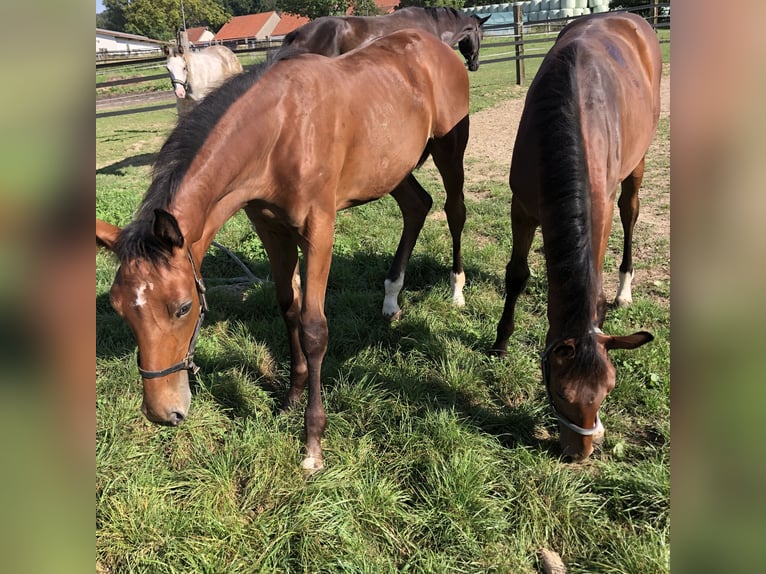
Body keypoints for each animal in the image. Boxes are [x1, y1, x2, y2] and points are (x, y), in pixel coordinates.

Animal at [96, 29, 468, 474]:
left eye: (184, 308)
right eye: (118, 309)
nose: (162, 411)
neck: (279, 132)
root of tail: (437, 43)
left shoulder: (319, 231)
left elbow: (313, 328)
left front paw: (313, 443)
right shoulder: (271, 230)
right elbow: (289, 309)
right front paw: (290, 398)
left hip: (450, 149)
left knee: (454, 210)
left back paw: (457, 290)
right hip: (392, 167)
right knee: (417, 206)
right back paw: (392, 297)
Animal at [496, 12, 664, 464]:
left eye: (607, 392)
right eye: (560, 392)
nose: (580, 453)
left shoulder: (598, 214)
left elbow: (596, 289)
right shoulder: (522, 207)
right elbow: (516, 275)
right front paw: (501, 341)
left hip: (636, 168)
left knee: (631, 212)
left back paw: (626, 288)